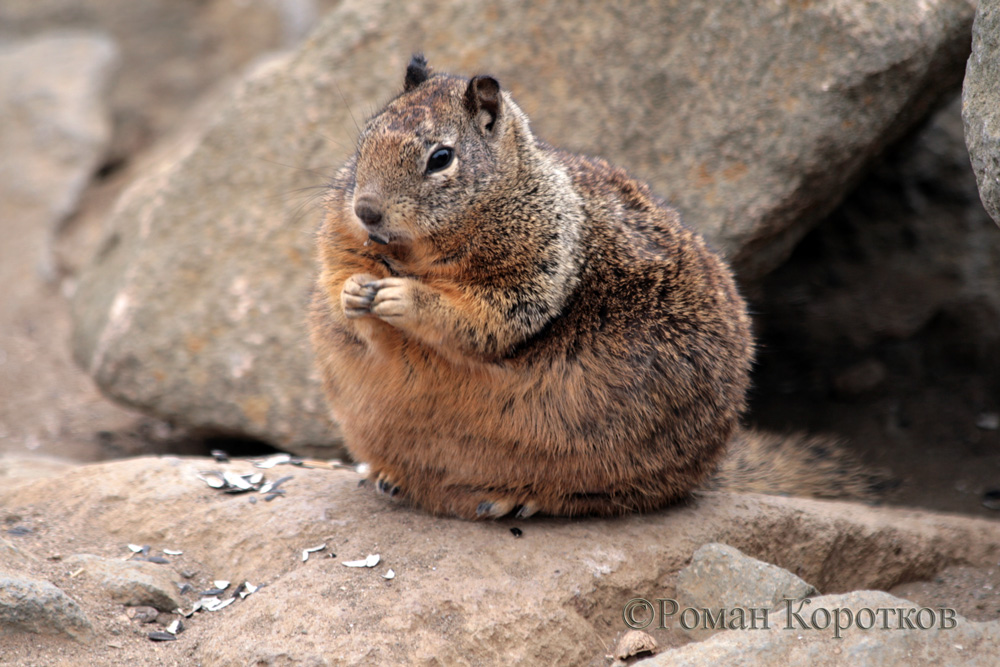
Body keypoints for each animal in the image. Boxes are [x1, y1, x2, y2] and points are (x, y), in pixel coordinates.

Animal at [306, 54, 884, 520]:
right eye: (364, 139)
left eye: (441, 158)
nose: (366, 210)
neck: (416, 253)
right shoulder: (341, 244)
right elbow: (345, 292)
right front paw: (353, 293)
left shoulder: (534, 272)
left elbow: (480, 320)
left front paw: (402, 298)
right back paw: (392, 479)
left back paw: (514, 498)